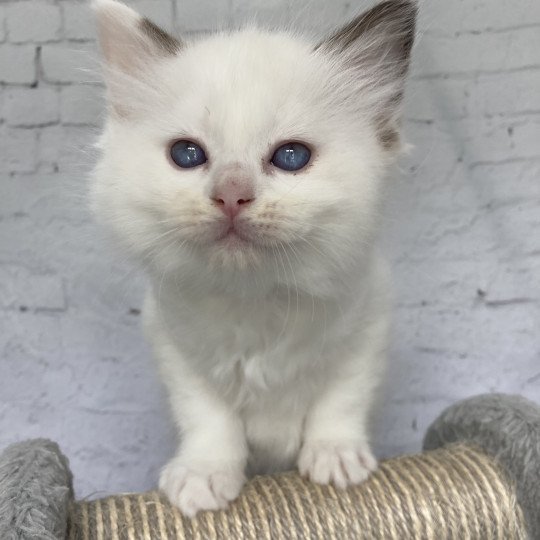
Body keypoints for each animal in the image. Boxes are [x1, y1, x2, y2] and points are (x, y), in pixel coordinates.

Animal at [90, 0, 416, 516]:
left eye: (291, 157)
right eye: (187, 154)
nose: (230, 195)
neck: (255, 299)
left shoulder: (368, 327)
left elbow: (341, 399)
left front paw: (335, 458)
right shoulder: (174, 348)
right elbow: (208, 418)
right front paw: (203, 476)